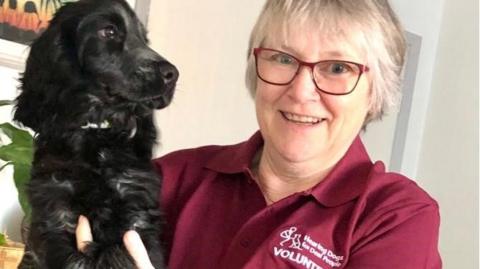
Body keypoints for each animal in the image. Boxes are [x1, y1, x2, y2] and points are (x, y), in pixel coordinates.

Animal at [14, 0, 178, 266]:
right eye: (108, 31)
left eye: (144, 38)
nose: (172, 74)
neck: (97, 132)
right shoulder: (56, 210)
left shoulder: (136, 208)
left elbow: (117, 255)